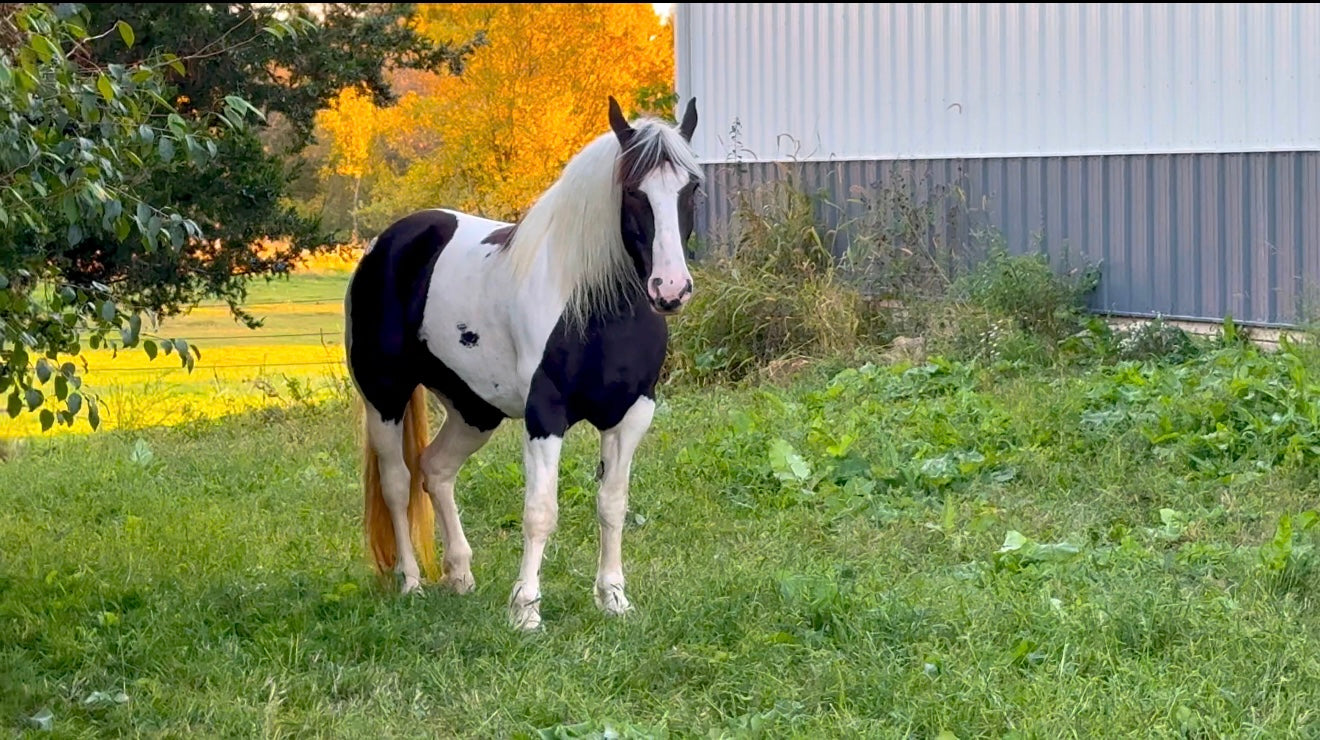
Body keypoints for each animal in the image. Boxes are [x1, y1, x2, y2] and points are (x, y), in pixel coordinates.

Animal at [343, 96, 702, 630]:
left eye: (690, 187)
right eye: (633, 190)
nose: (671, 289)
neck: (595, 306)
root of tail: (388, 242)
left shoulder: (632, 414)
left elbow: (612, 504)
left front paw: (613, 598)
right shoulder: (544, 416)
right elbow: (540, 512)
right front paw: (526, 609)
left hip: (474, 409)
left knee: (436, 470)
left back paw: (460, 575)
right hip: (384, 395)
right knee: (397, 483)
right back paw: (411, 583)